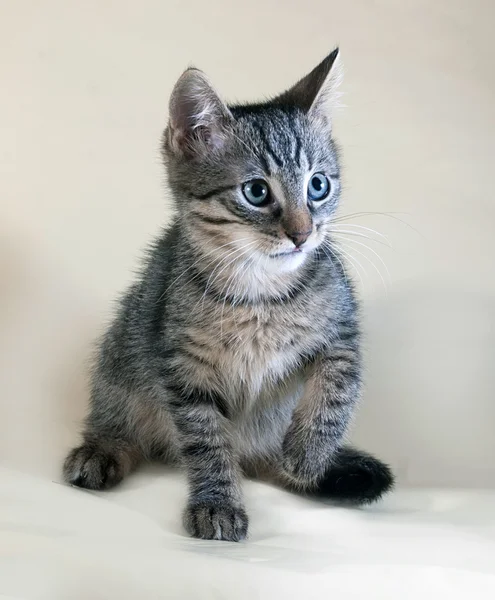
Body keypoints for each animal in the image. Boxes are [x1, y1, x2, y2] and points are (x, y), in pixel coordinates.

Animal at [64, 49, 394, 540]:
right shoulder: (184, 367)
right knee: (118, 416)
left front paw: (309, 453)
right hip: (122, 351)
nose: (302, 234)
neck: (262, 294)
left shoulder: (342, 331)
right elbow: (206, 440)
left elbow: (337, 390)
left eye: (319, 186)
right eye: (256, 192)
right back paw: (102, 449)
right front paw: (217, 502)